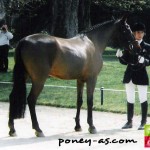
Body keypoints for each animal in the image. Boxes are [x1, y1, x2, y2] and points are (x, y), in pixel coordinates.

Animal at [8, 16, 141, 136]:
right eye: (127, 29)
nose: (137, 48)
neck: (93, 43)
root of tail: (24, 41)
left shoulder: (80, 80)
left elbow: (79, 101)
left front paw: (78, 126)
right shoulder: (92, 79)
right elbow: (89, 101)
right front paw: (91, 126)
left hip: (23, 77)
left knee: (12, 97)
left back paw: (12, 129)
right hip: (39, 80)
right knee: (31, 100)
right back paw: (38, 129)